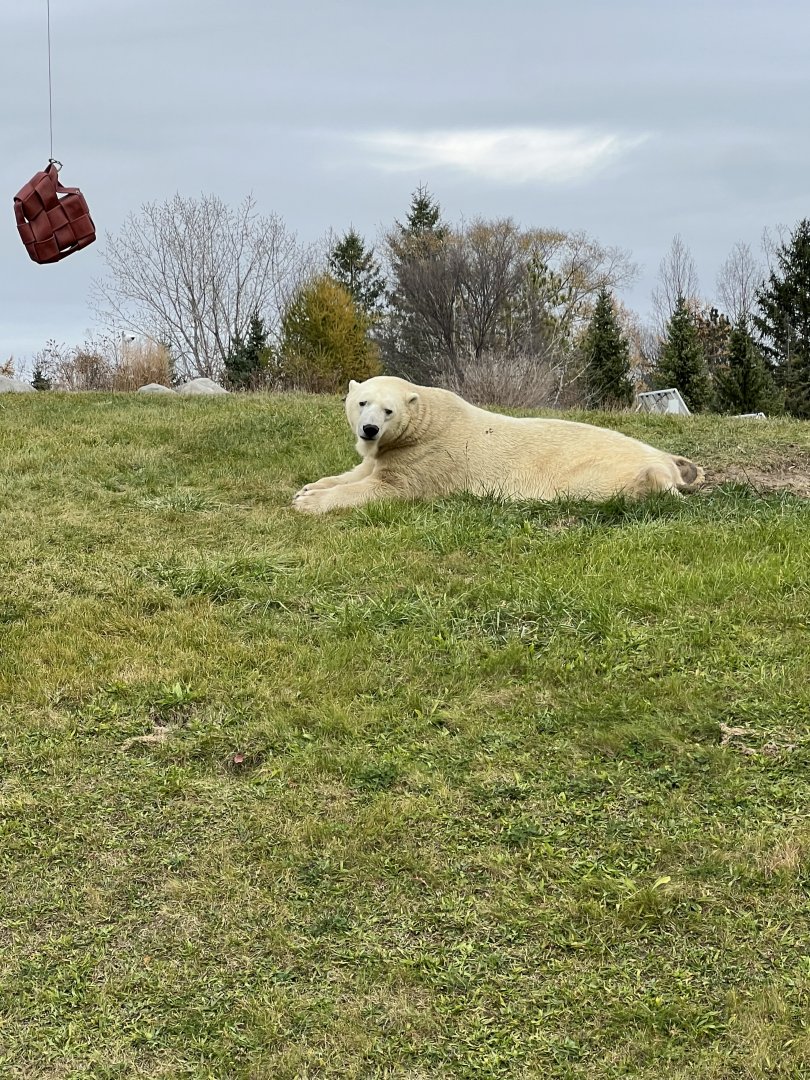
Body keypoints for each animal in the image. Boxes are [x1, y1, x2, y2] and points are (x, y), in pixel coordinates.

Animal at [292, 375, 705, 514]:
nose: (370, 430)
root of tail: (665, 458)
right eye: (362, 402)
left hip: (600, 470)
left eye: (388, 410)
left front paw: (307, 503)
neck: (429, 421)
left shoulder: (428, 456)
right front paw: (308, 488)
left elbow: (386, 487)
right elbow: (359, 470)